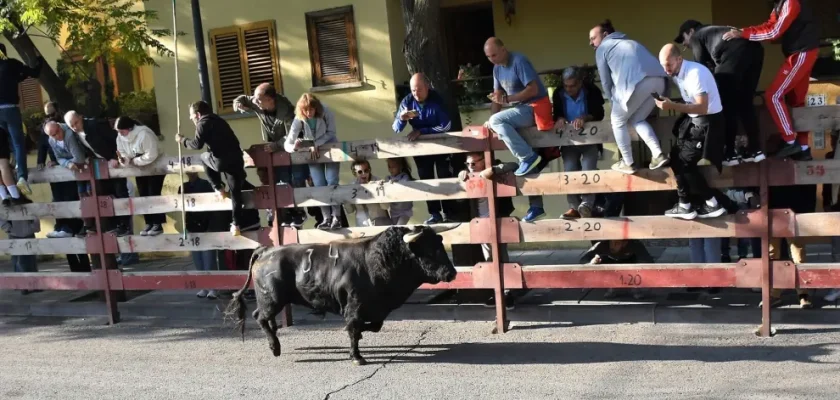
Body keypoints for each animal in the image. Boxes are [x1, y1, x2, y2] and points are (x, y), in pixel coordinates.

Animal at [226, 225, 456, 366]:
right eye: (428, 250)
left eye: (440, 244)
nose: (451, 273)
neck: (379, 260)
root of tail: (266, 251)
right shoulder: (355, 306)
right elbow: (353, 328)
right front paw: (357, 356)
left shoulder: (376, 309)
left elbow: (373, 326)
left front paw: (360, 337)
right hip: (272, 299)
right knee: (260, 317)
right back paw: (275, 347)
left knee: (265, 319)